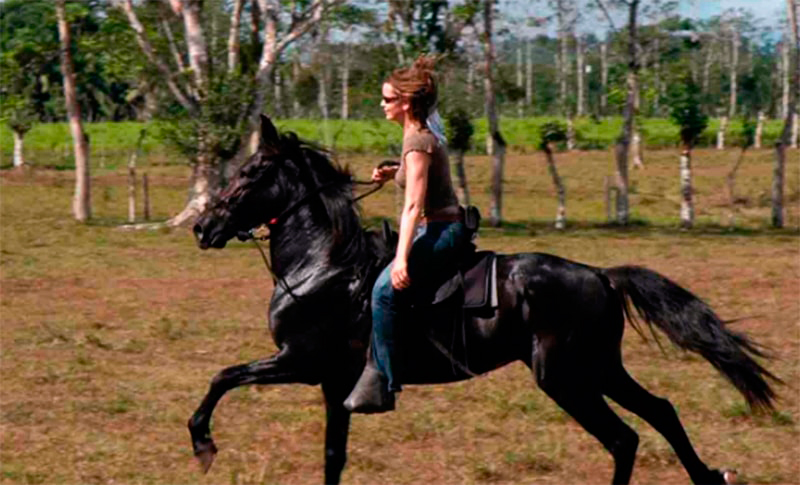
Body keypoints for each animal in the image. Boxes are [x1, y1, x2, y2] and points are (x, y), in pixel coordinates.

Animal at [191, 114, 780, 484]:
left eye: (250, 174)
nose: (202, 227)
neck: (325, 266)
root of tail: (600, 275)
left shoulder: (300, 361)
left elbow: (222, 376)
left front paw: (203, 446)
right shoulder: (334, 383)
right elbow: (334, 457)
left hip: (564, 377)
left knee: (623, 438)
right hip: (598, 367)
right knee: (659, 412)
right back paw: (710, 476)